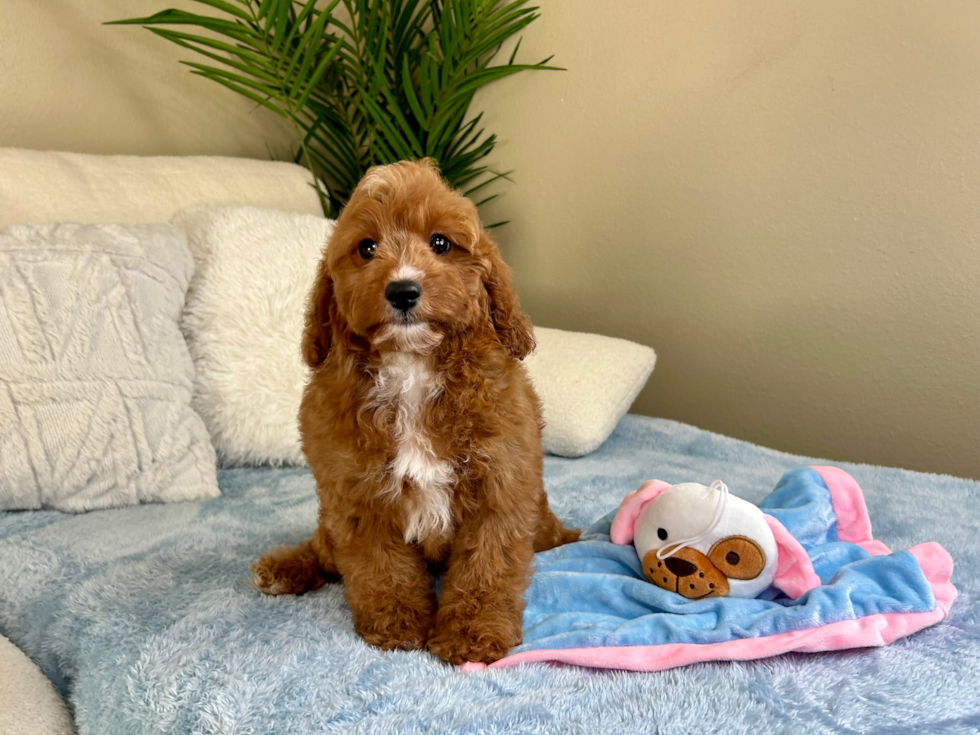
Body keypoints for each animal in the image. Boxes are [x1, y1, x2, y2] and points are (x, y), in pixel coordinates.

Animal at [249, 158, 580, 664]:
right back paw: (285, 568)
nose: (403, 290)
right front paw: (397, 625)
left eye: (440, 243)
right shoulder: (357, 496)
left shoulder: (500, 486)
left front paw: (471, 634)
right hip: (330, 521)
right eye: (367, 248)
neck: (412, 368)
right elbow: (381, 569)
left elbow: (486, 567)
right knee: (324, 549)